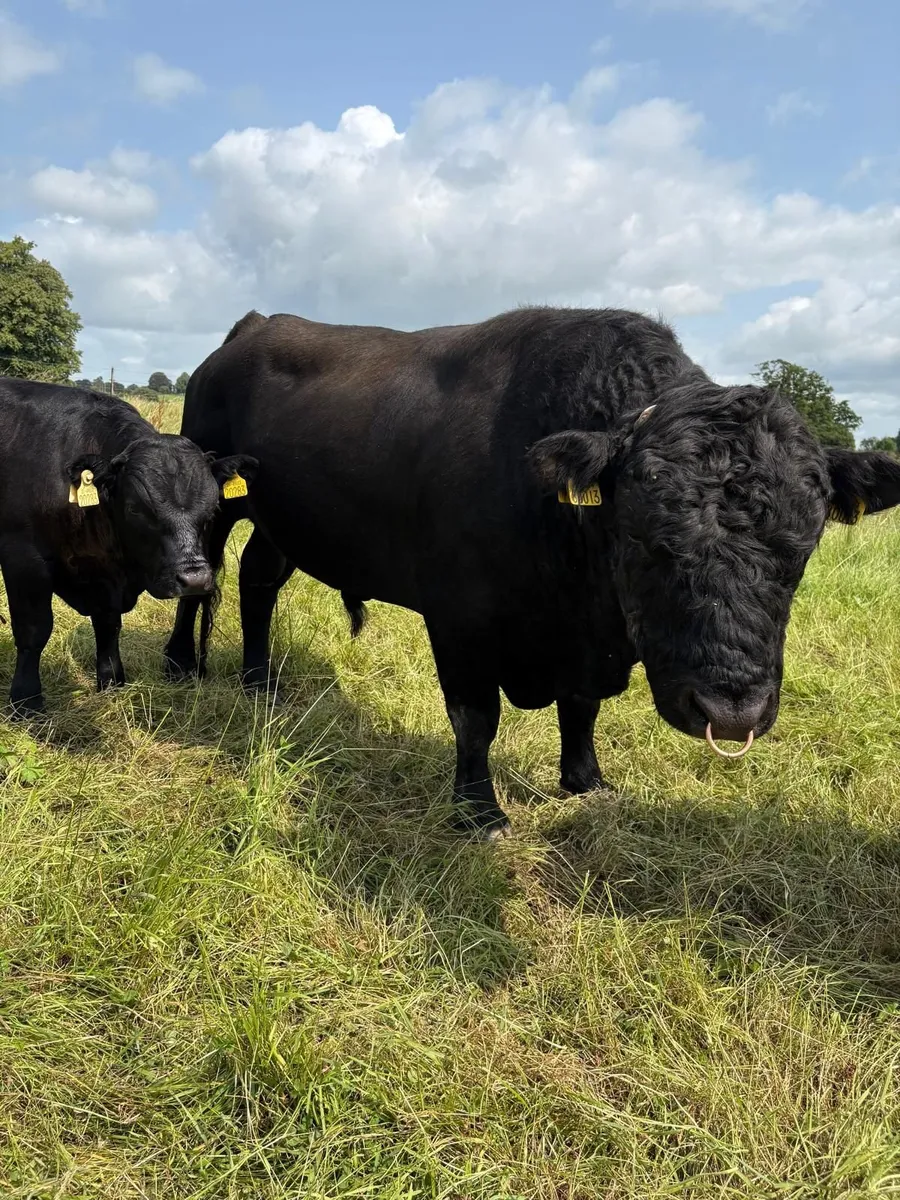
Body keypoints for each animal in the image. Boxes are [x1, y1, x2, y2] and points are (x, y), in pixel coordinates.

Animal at [0, 378, 256, 713]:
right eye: (136, 509)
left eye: (213, 509)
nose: (194, 579)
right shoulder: (24, 559)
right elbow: (34, 630)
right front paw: (27, 701)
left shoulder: (106, 576)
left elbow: (108, 625)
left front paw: (112, 681)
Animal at [162, 307, 900, 837]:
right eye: (645, 536)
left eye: (801, 549)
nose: (730, 710)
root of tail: (255, 325)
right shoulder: (459, 619)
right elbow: (475, 716)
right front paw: (479, 812)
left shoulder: (585, 641)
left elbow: (581, 709)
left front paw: (586, 782)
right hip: (210, 494)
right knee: (198, 578)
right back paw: (181, 664)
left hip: (279, 522)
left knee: (258, 580)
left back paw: (260, 681)